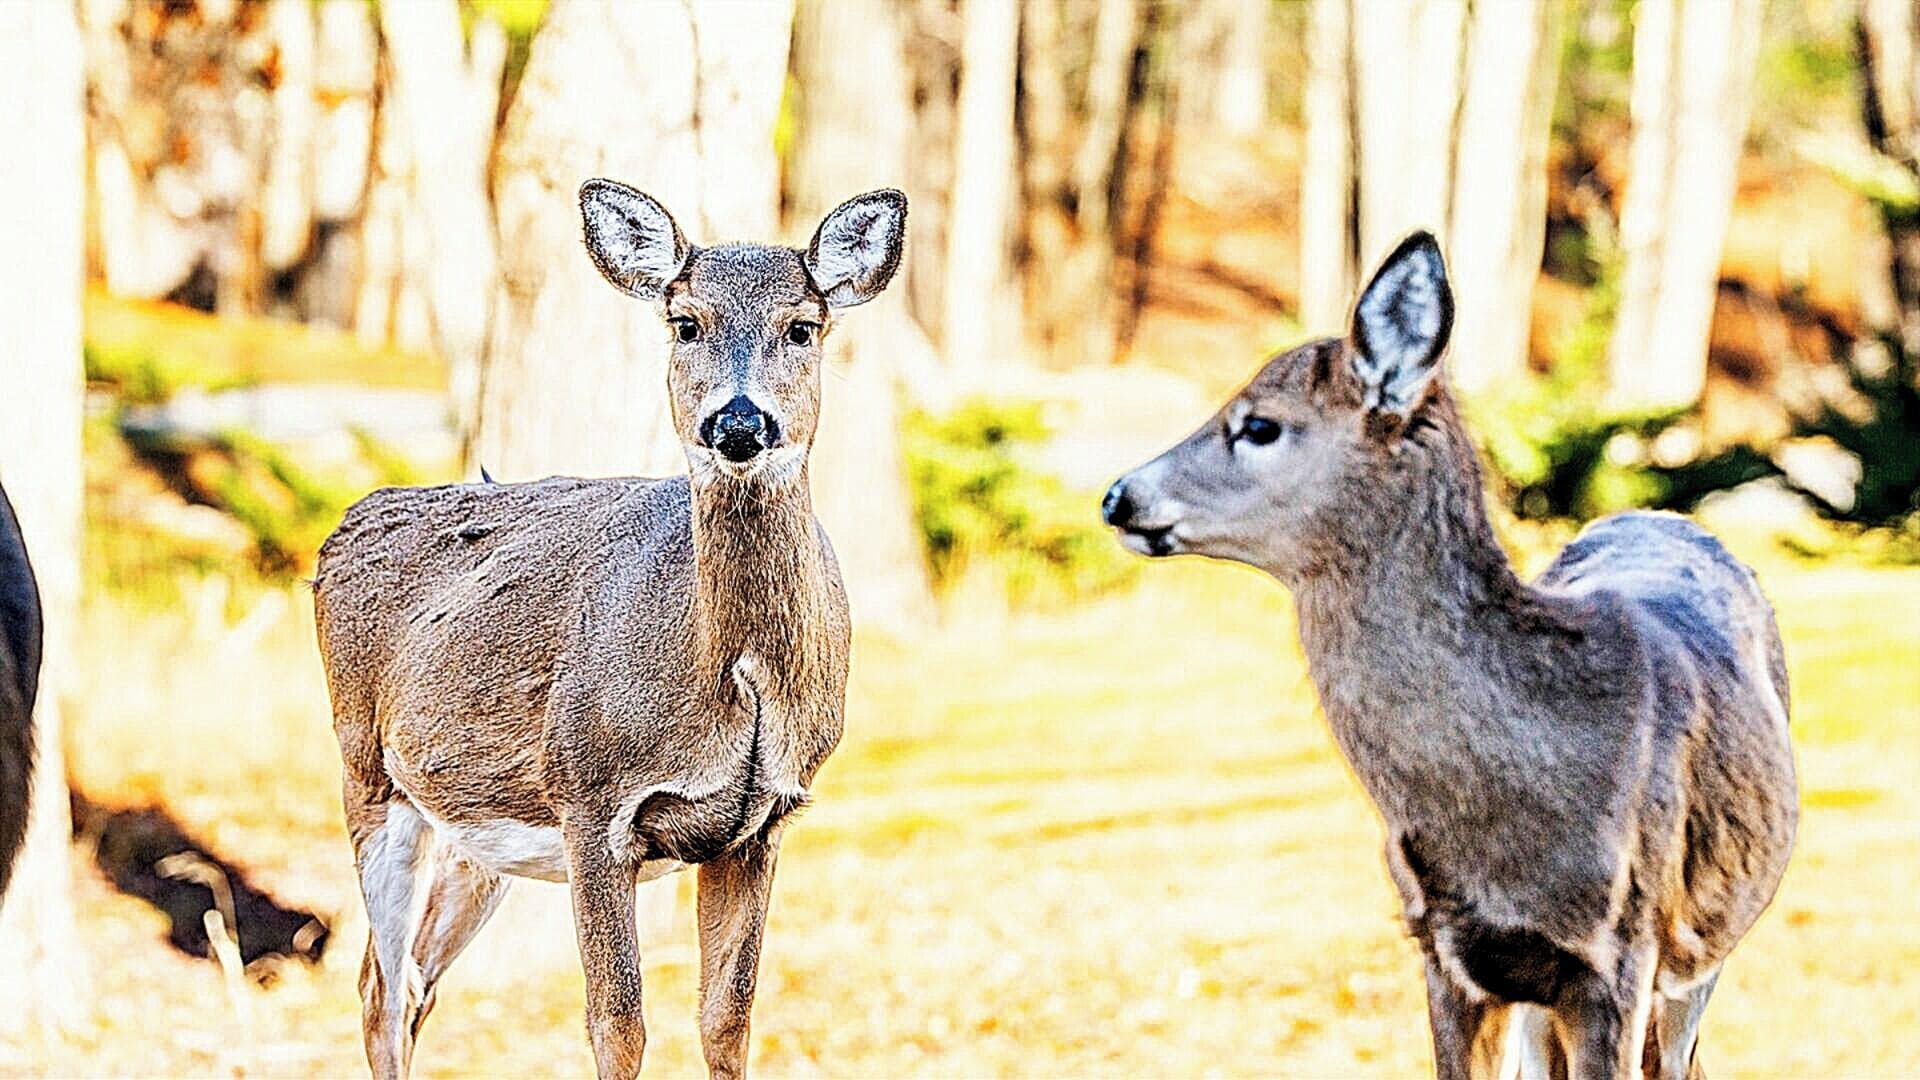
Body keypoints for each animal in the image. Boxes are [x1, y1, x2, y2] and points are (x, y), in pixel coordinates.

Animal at [313, 181, 908, 1080]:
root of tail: (345, 522)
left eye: (803, 326)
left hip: (480, 834)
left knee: (411, 982)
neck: (730, 681)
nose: (739, 424)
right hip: (368, 771)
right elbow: (617, 1024)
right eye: (685, 322)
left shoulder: (761, 825)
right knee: (379, 989)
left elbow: (727, 1022)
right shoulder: (591, 796)